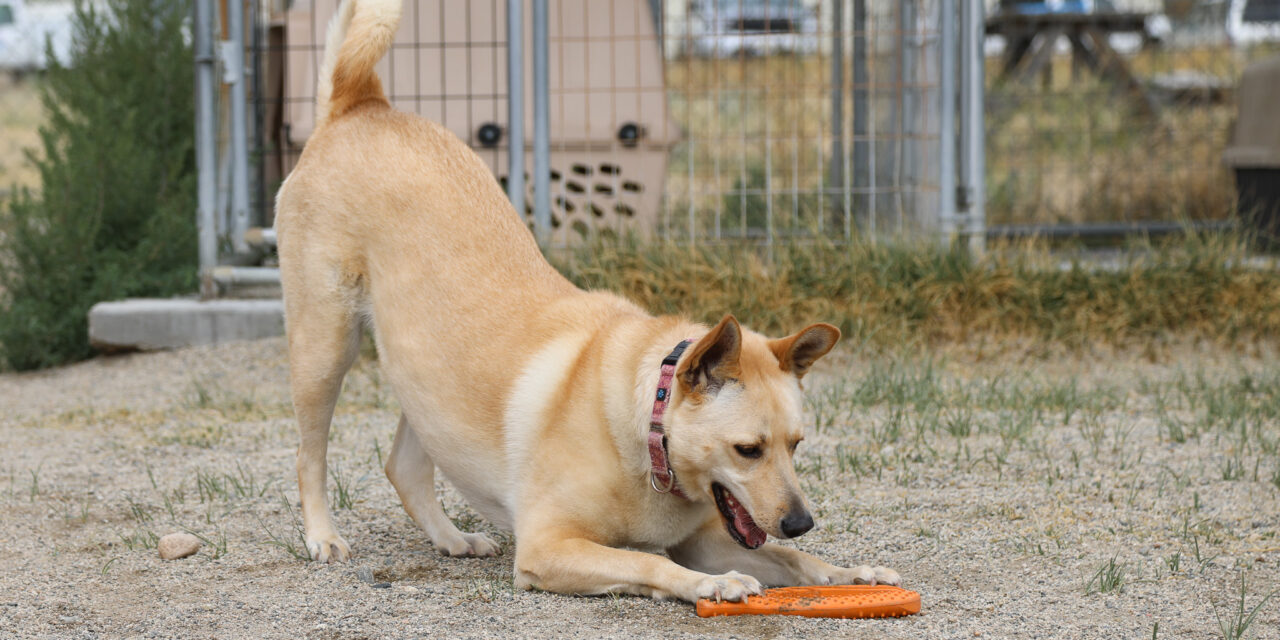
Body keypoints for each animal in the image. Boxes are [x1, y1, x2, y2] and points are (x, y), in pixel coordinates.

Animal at [280, 0, 901, 601]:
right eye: (748, 449)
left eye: (797, 445)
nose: (801, 522)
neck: (643, 427)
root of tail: (362, 102)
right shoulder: (548, 546)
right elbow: (649, 562)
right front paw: (715, 584)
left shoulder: (709, 538)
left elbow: (793, 562)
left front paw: (849, 572)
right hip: (323, 352)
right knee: (309, 454)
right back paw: (324, 537)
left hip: (425, 381)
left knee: (402, 467)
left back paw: (452, 538)